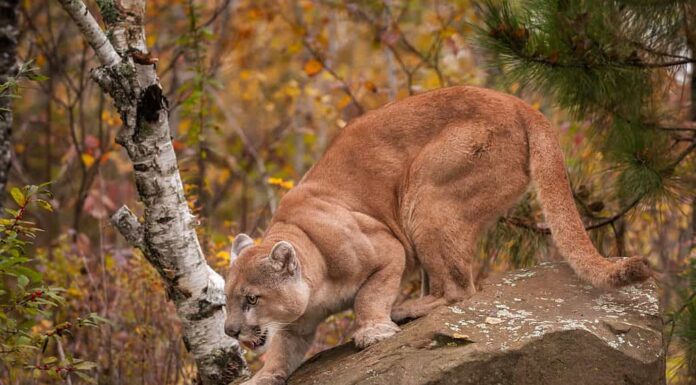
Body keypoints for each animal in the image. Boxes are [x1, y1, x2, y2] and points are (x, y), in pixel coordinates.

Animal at [223, 85, 652, 382]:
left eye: (252, 298)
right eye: (225, 300)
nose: (229, 330)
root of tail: (518, 103)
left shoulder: (388, 250)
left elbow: (368, 296)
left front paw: (372, 331)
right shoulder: (297, 323)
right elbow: (281, 350)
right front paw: (262, 378)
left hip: (425, 194)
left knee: (461, 289)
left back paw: (408, 309)